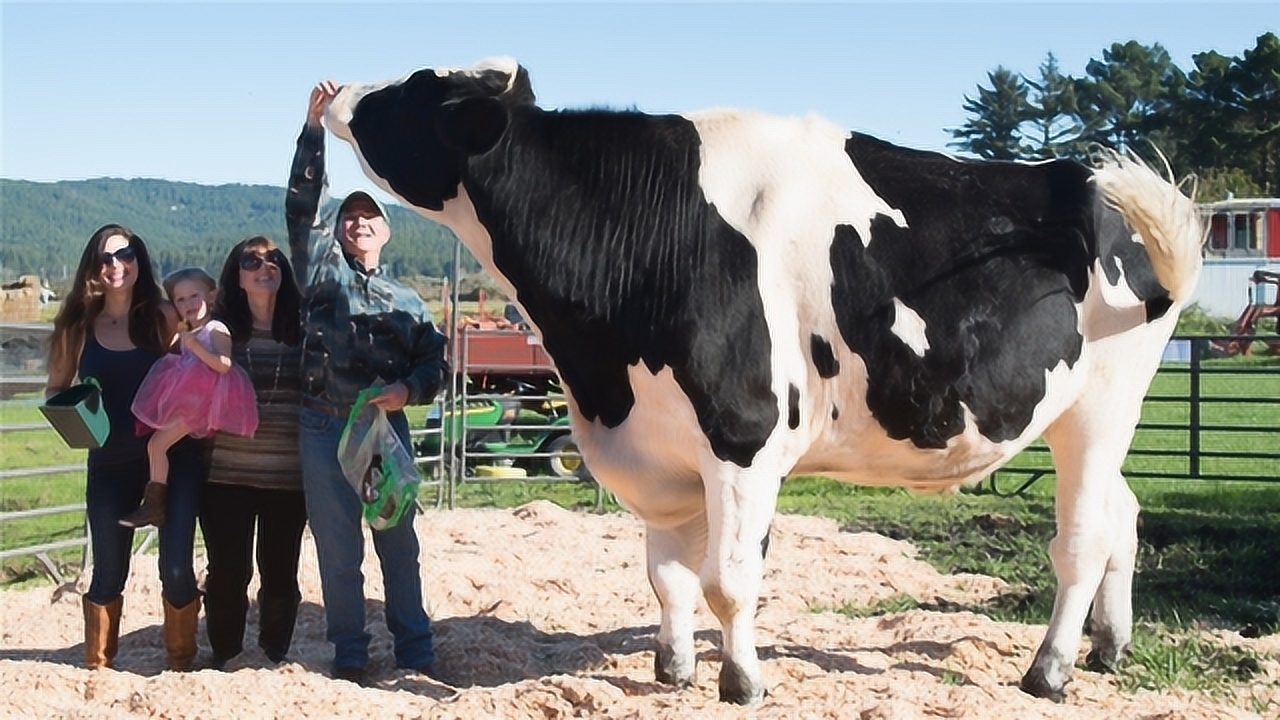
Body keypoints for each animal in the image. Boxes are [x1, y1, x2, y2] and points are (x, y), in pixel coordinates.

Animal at [317, 57, 1198, 702]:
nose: (333, 90)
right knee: (1124, 515)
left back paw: (1049, 671)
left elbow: (729, 580)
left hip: (1101, 409)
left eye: (412, 89)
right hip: (1082, 419)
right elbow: (669, 575)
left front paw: (741, 683)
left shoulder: (742, 439)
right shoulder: (662, 445)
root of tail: (1087, 183)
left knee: (1083, 540)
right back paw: (1110, 647)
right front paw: (673, 671)